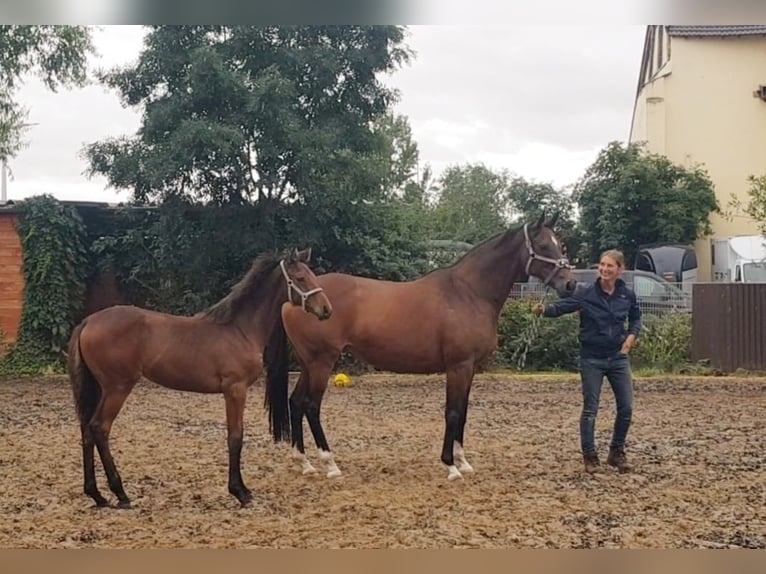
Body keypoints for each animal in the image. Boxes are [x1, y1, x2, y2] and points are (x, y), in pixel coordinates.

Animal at [70, 250, 334, 510]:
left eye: (312, 275)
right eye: (300, 278)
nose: (326, 309)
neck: (240, 330)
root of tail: (89, 321)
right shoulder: (235, 390)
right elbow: (235, 437)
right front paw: (240, 492)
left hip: (100, 388)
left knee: (87, 429)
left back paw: (97, 495)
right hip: (117, 387)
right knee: (100, 428)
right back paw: (121, 494)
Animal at [268, 215, 580, 482]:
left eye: (561, 244)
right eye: (543, 246)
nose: (570, 283)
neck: (468, 292)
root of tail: (295, 300)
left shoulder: (469, 369)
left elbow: (463, 411)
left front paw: (463, 461)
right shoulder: (458, 366)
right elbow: (452, 412)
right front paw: (451, 466)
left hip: (308, 364)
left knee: (296, 403)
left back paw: (304, 462)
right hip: (322, 362)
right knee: (311, 406)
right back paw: (330, 463)